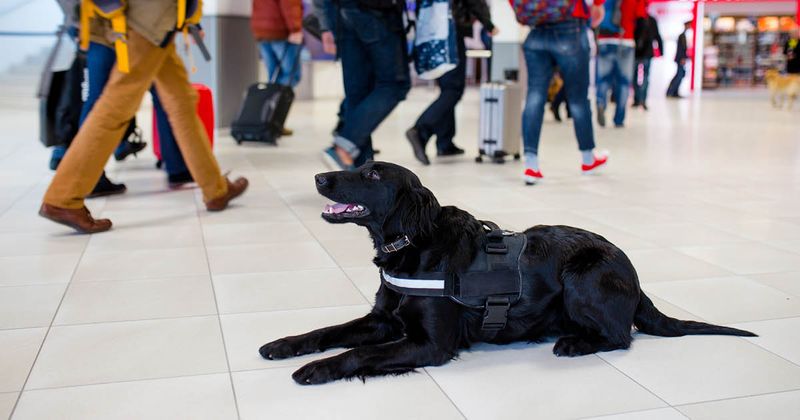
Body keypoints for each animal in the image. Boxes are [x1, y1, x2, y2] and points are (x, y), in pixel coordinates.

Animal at [260, 162, 752, 386]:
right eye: (360, 166)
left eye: (374, 175)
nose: (319, 177)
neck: (414, 247)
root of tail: (634, 277)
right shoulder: (381, 319)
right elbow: (328, 331)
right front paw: (284, 345)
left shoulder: (429, 344)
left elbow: (358, 353)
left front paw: (316, 368)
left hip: (581, 274)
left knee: (620, 335)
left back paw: (573, 343)